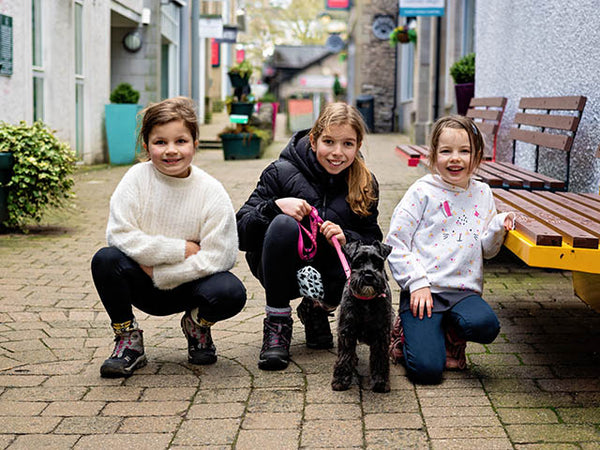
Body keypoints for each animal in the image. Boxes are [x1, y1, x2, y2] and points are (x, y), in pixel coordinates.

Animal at [332, 241, 394, 392]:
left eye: (377, 262)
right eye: (358, 261)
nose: (368, 275)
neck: (366, 300)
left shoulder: (381, 333)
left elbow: (380, 357)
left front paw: (380, 382)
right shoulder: (346, 331)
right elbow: (345, 355)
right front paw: (341, 380)